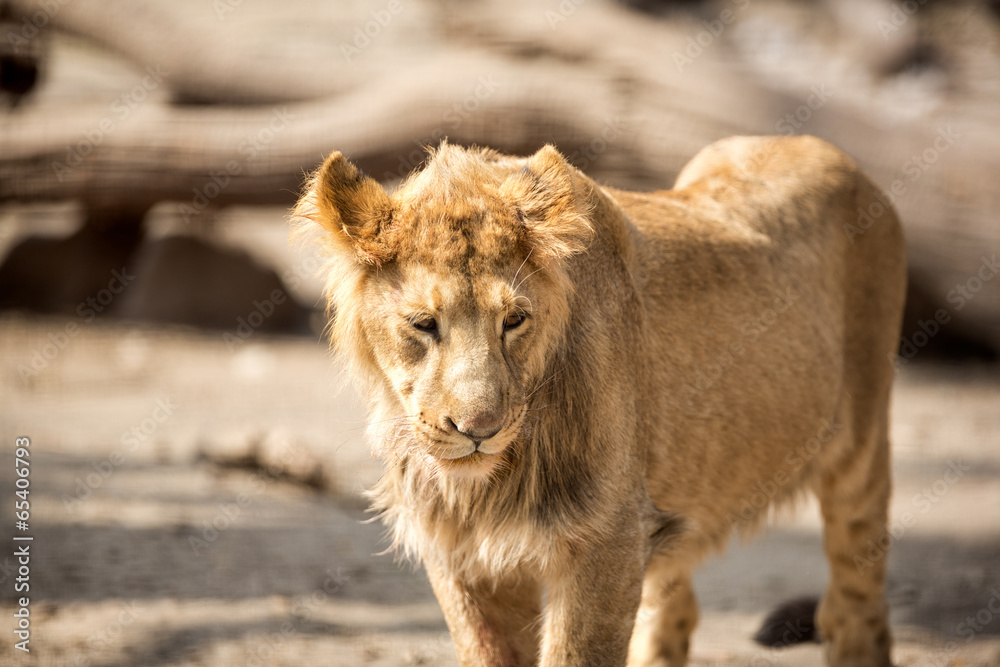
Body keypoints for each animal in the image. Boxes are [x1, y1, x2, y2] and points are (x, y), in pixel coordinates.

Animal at [292, 135, 906, 667]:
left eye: (514, 321)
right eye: (423, 324)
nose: (480, 429)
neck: (492, 481)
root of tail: (825, 149)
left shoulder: (606, 541)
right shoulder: (461, 554)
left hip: (861, 448)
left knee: (856, 607)